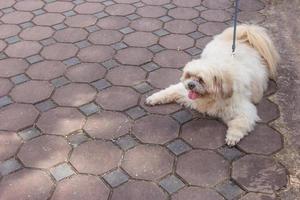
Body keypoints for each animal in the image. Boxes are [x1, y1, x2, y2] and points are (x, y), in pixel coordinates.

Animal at [145, 25, 278, 146]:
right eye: (189, 75)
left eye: (201, 80)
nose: (191, 84)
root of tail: (243, 37)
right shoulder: (184, 92)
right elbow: (168, 91)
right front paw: (154, 98)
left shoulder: (244, 109)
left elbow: (241, 122)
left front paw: (233, 136)